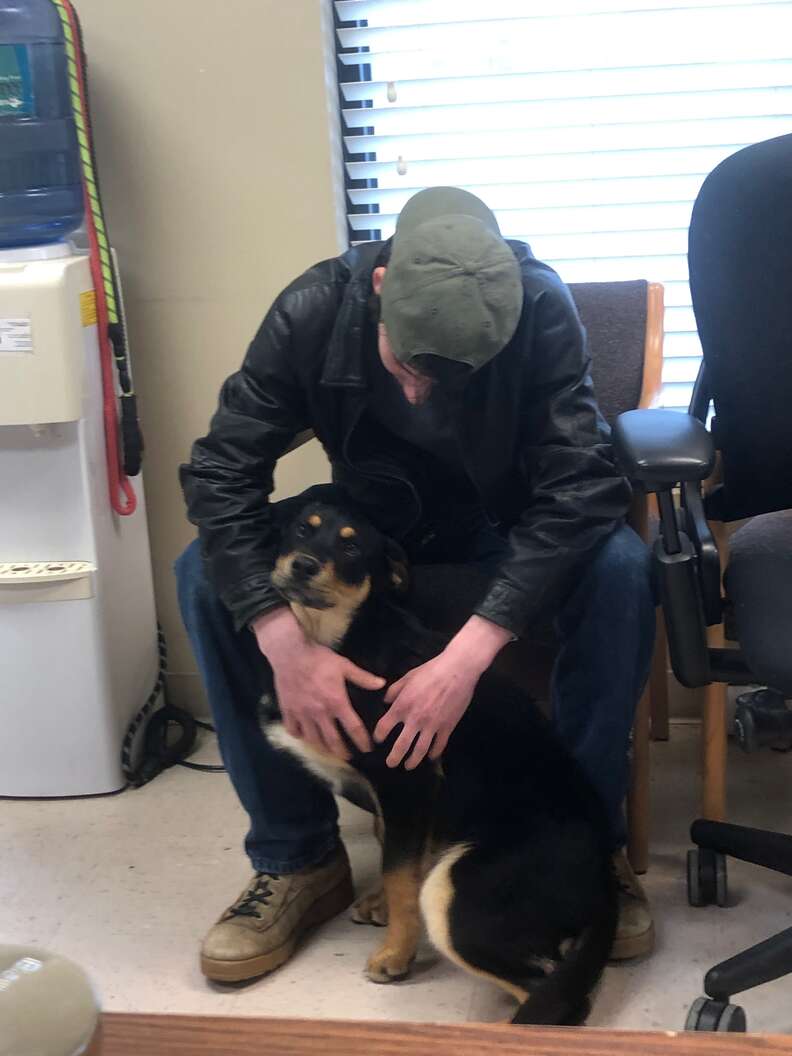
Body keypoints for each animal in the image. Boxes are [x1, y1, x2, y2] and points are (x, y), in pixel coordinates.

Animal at [260, 500, 620, 1022]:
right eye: (299, 531)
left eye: (351, 547)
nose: (303, 566)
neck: (342, 638)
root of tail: (604, 880)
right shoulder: (401, 801)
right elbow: (394, 852)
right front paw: (382, 907)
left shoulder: (406, 777)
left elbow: (400, 874)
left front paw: (396, 954)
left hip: (458, 895)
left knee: (552, 996)